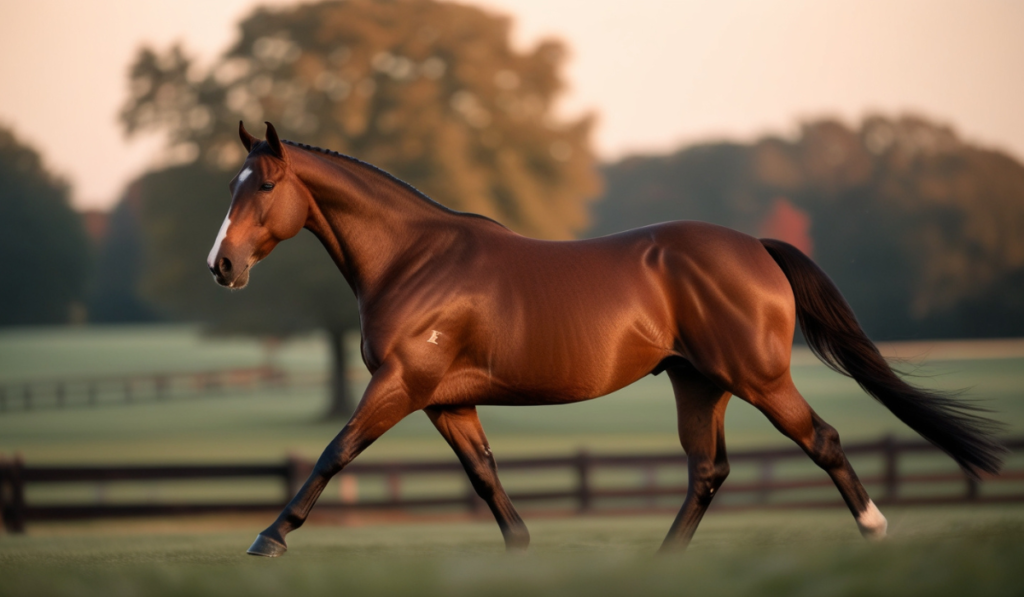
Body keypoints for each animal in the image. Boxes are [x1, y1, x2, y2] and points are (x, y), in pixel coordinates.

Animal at [207, 121, 999, 557]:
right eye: (231, 186)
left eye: (264, 185)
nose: (222, 265)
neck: (415, 258)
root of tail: (755, 247)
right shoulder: (445, 401)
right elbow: (484, 474)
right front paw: (522, 548)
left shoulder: (401, 385)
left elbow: (335, 450)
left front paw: (269, 536)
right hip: (699, 382)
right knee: (707, 471)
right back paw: (660, 562)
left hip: (759, 378)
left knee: (822, 440)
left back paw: (874, 528)